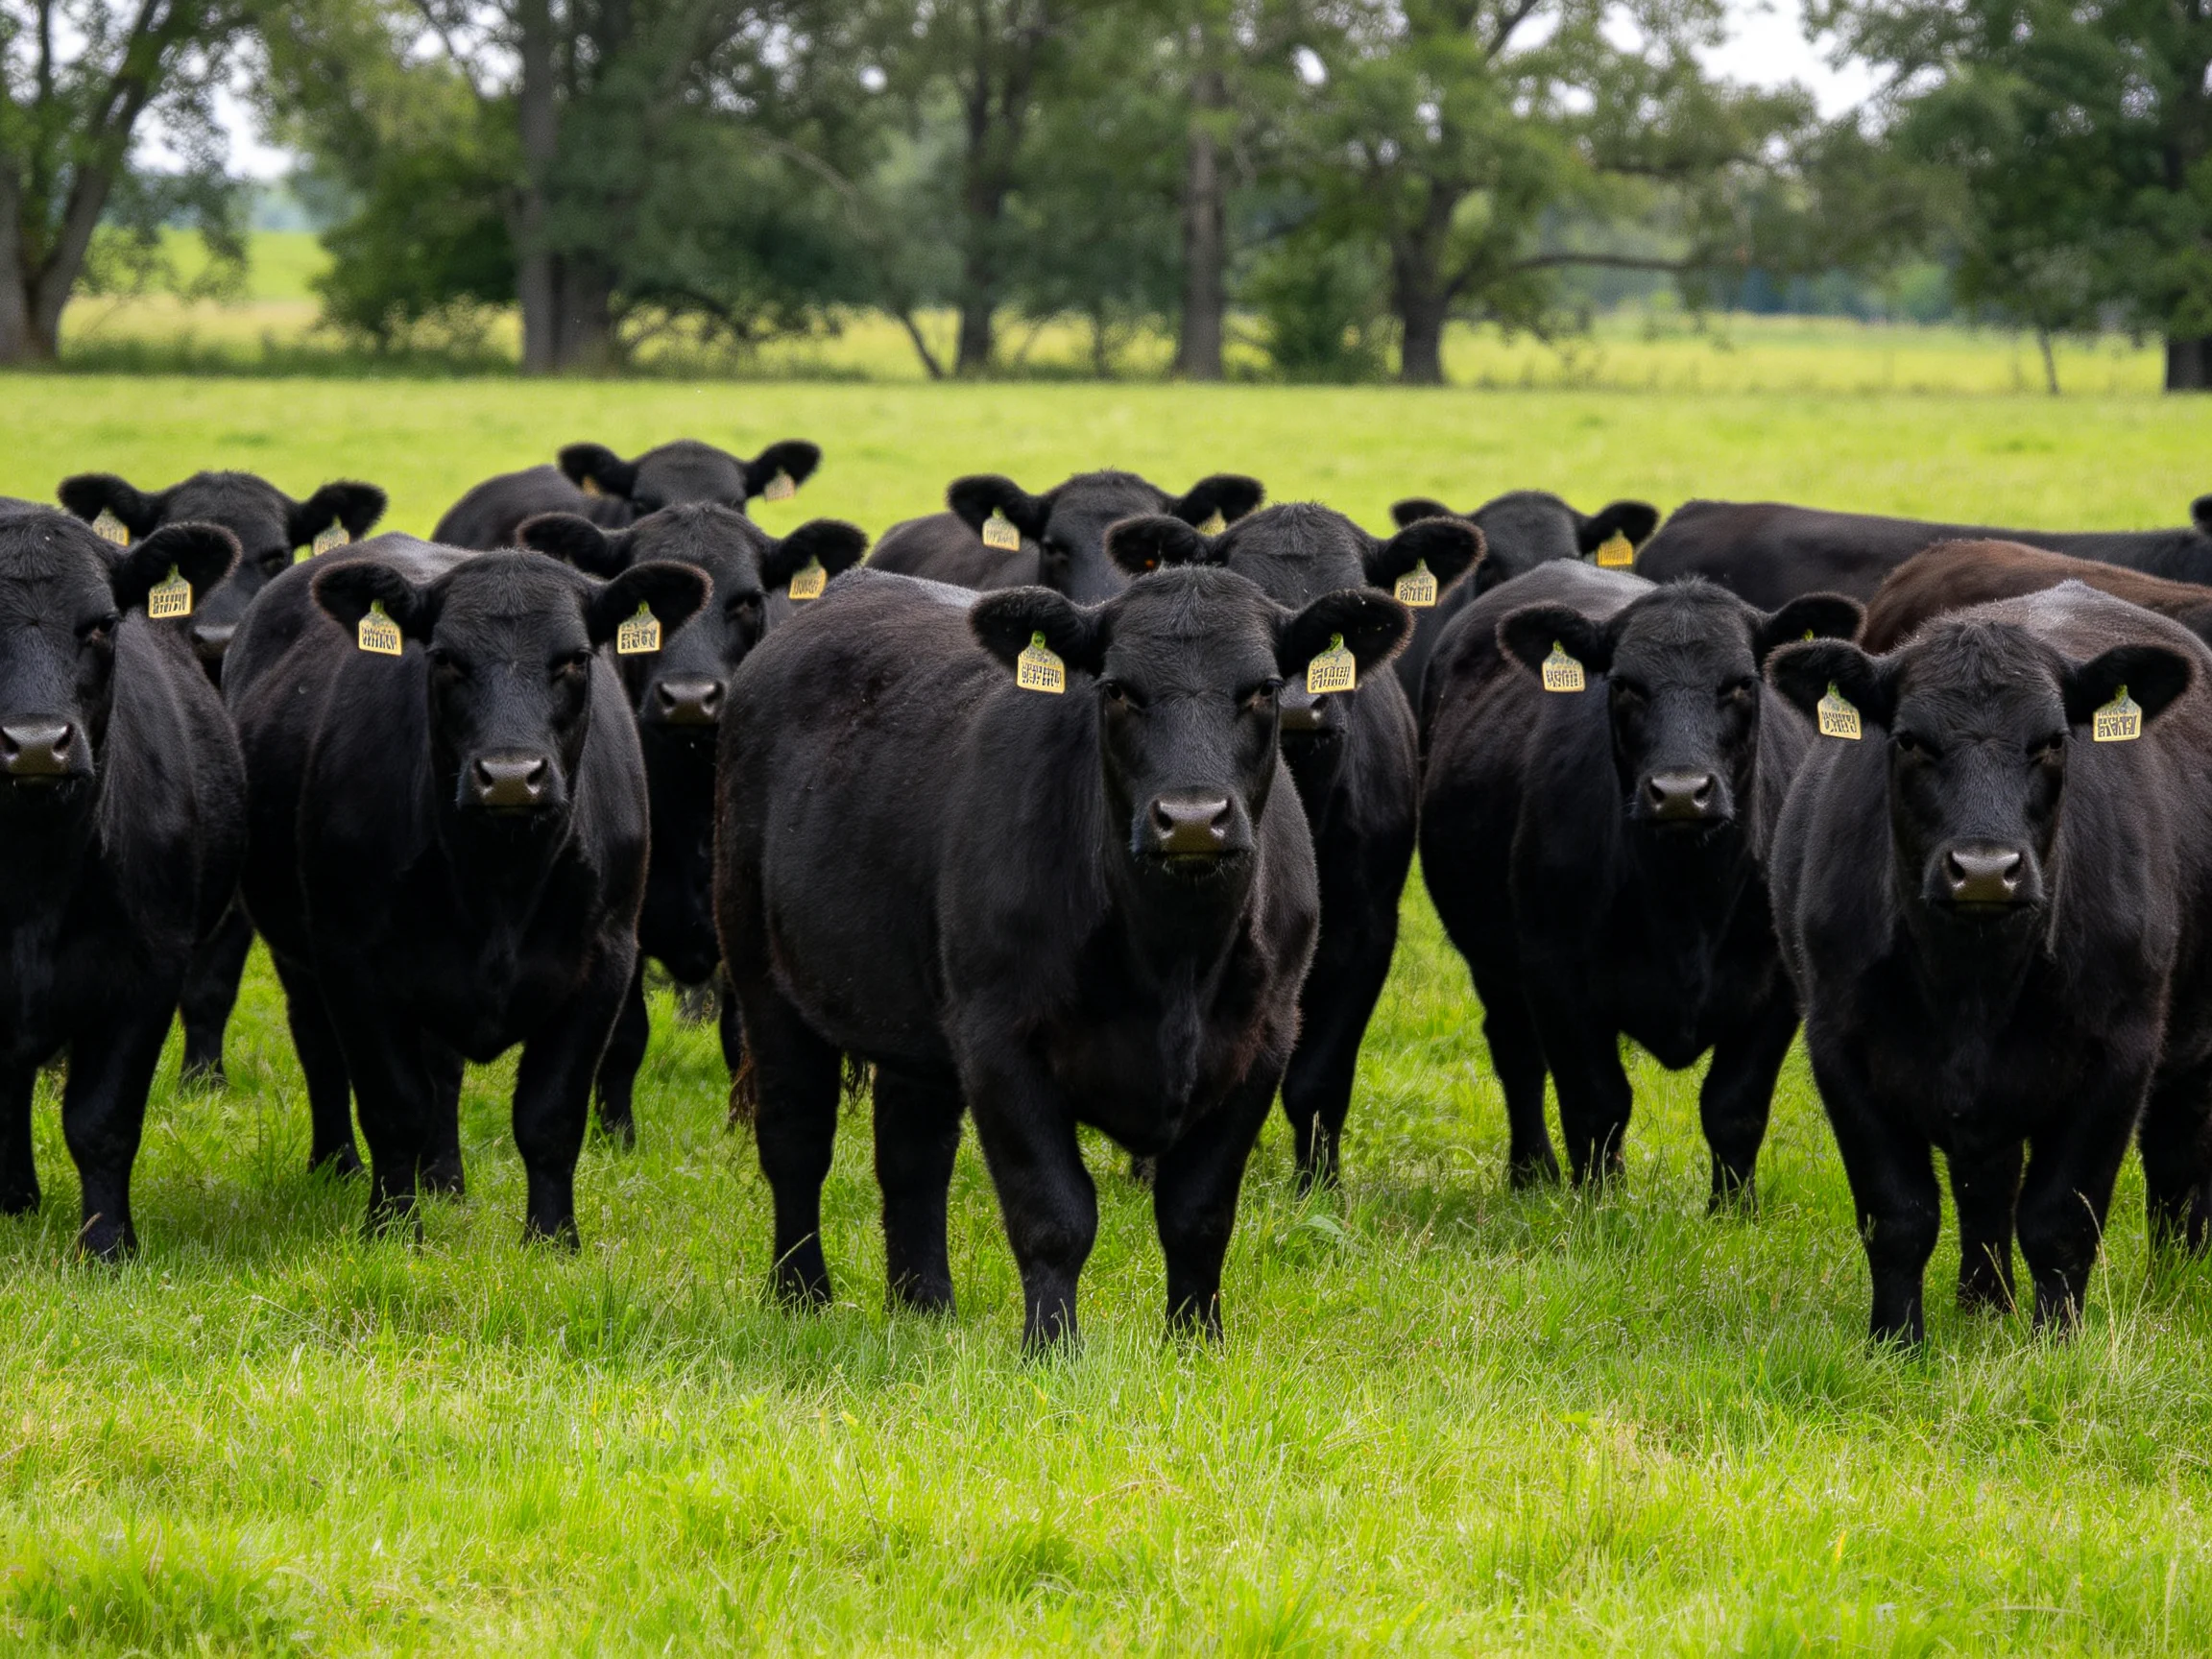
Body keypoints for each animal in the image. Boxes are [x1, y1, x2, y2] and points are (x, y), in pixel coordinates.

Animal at [225, 538, 706, 1239]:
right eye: (446, 659)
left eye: (574, 658)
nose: (509, 776)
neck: (498, 881)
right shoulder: (352, 961)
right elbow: (393, 1106)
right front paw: (393, 1231)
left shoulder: (607, 959)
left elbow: (550, 1117)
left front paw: (552, 1240)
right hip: (300, 953)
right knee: (320, 1049)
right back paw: (338, 1165)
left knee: (442, 1073)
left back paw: (445, 1182)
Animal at [515, 503, 870, 1141]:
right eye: (643, 612)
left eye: (748, 599)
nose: (688, 698)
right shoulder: (621, 922)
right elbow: (625, 1035)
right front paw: (617, 1136)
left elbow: (740, 1035)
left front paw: (739, 1131)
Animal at [715, 564, 1409, 1347]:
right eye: (1117, 689)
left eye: (1262, 688)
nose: (1191, 819)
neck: (1173, 961)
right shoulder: (999, 1040)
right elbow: (1054, 1214)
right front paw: (1052, 1350)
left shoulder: (1262, 1041)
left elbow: (1199, 1215)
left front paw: (1196, 1344)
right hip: (762, 971)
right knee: (796, 1139)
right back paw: (801, 1295)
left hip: (911, 1018)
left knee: (912, 1156)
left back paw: (924, 1305)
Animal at [1420, 563, 1861, 1196]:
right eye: (1625, 685)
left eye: (1740, 684)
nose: (1679, 791)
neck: (1685, 902)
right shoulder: (1556, 974)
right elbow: (1597, 1103)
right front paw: (1599, 1203)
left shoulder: (1779, 988)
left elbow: (1735, 1108)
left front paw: (1734, 1209)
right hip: (1492, 961)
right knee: (1516, 1053)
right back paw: (1532, 1173)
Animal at [1768, 583, 2212, 1342]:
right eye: (1909, 740)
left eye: (2054, 741)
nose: (1983, 870)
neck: (1971, 986)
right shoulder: (1840, 1046)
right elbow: (1900, 1216)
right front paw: (1896, 1344)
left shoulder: (2122, 1053)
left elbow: (2061, 1219)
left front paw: (2055, 1346)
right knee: (1989, 1187)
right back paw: (1983, 1303)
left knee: (2181, 1160)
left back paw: (2176, 1281)